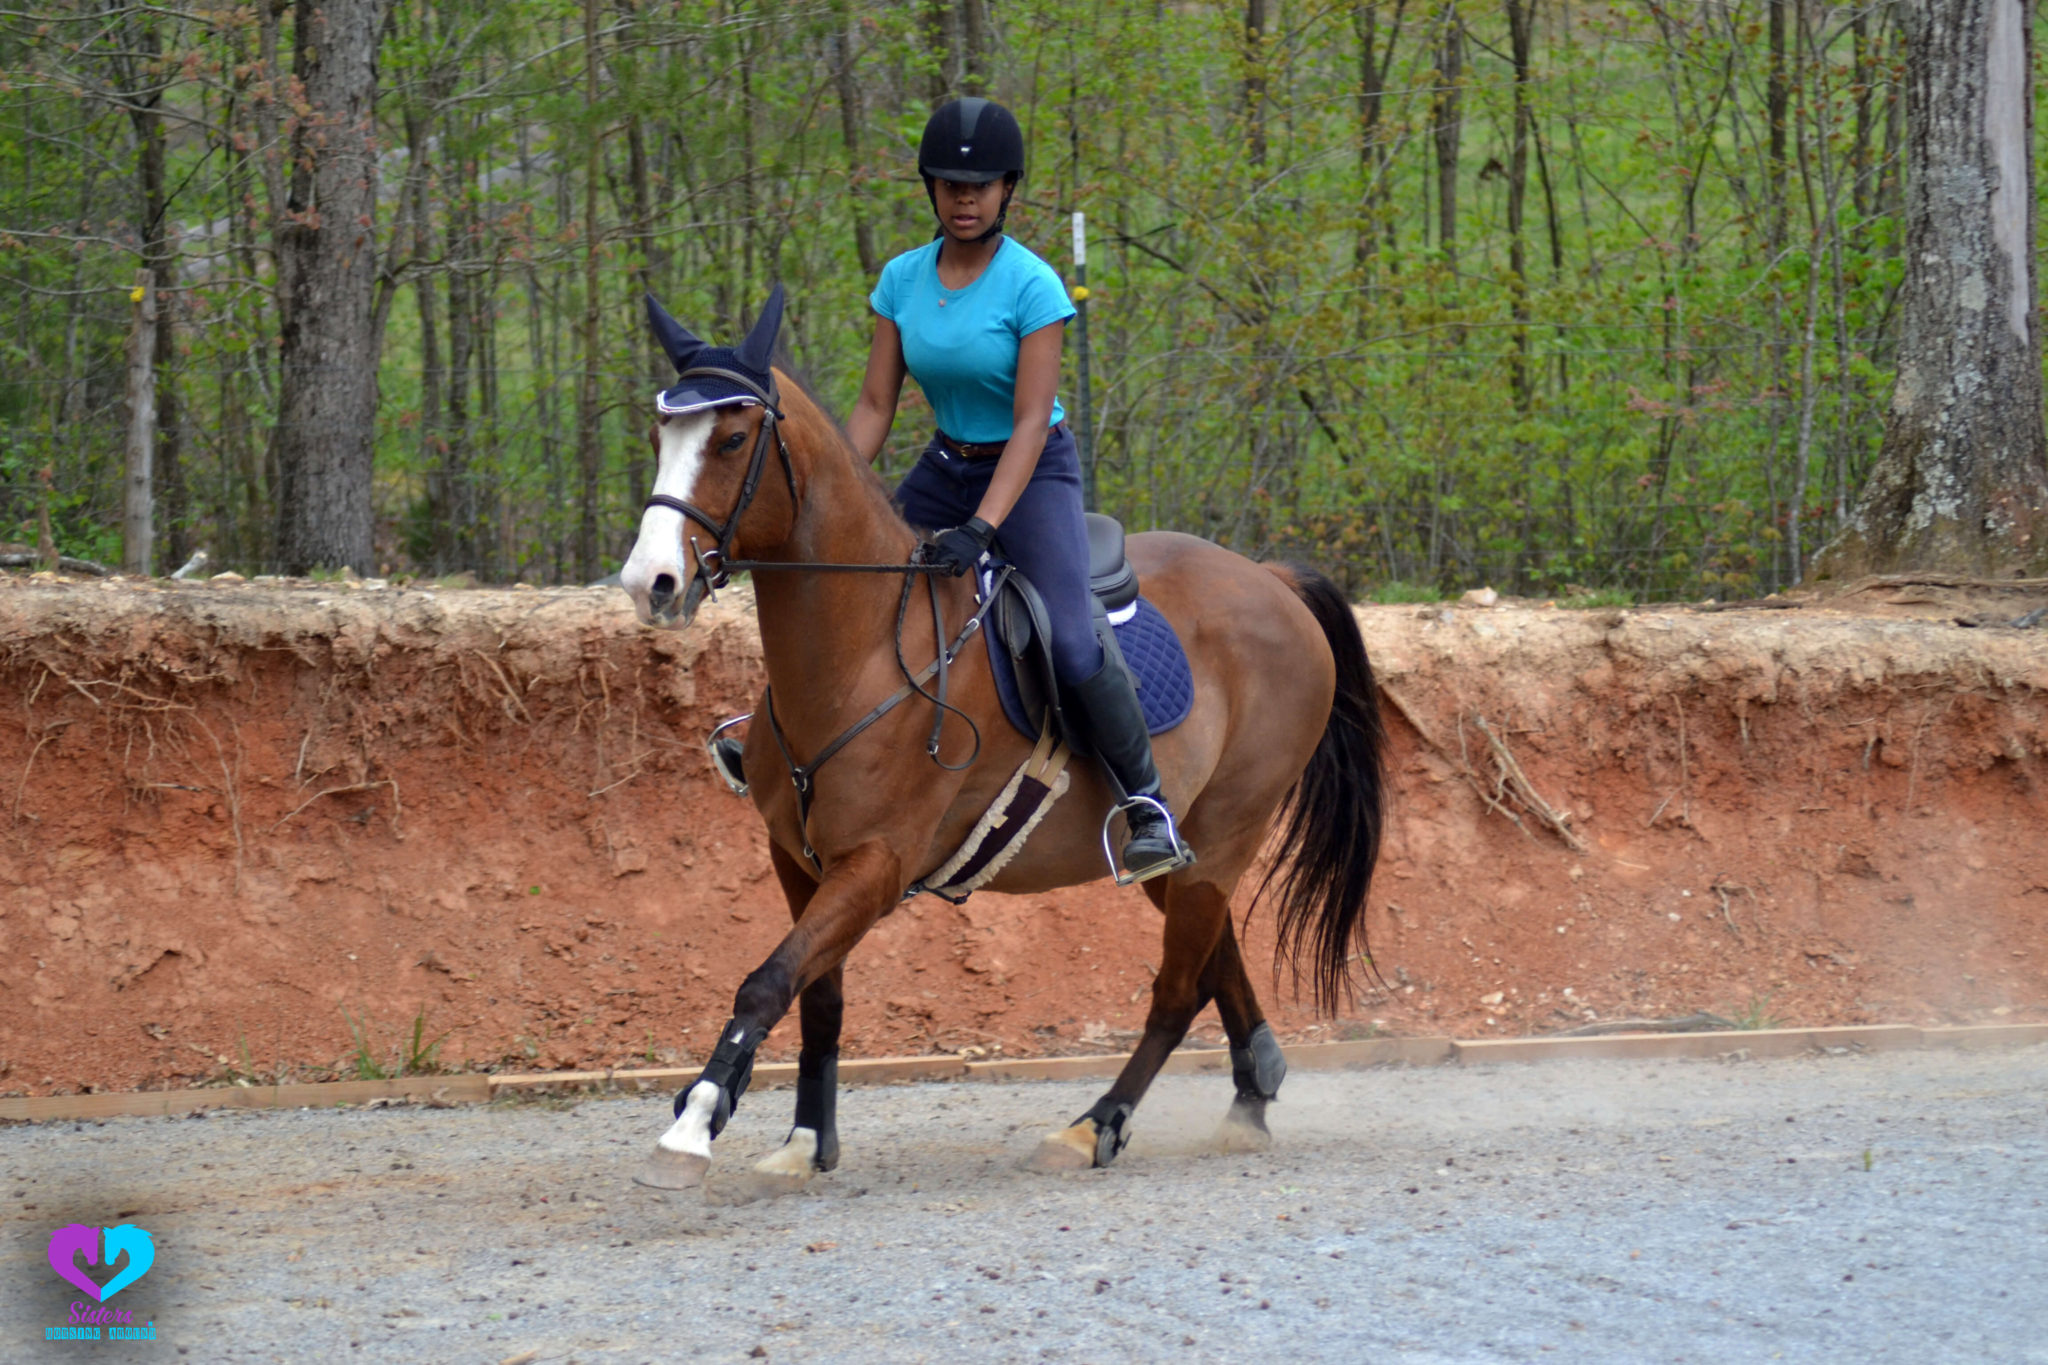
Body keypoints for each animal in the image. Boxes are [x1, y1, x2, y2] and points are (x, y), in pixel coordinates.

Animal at [617, 289, 1388, 1192]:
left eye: (733, 440)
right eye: (660, 439)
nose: (650, 582)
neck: (863, 653)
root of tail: (1271, 578)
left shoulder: (875, 864)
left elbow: (766, 981)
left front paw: (695, 1122)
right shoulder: (798, 858)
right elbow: (818, 994)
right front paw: (808, 1139)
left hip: (1227, 830)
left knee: (1175, 991)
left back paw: (1094, 1125)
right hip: (1181, 855)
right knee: (1212, 963)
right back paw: (1250, 1093)